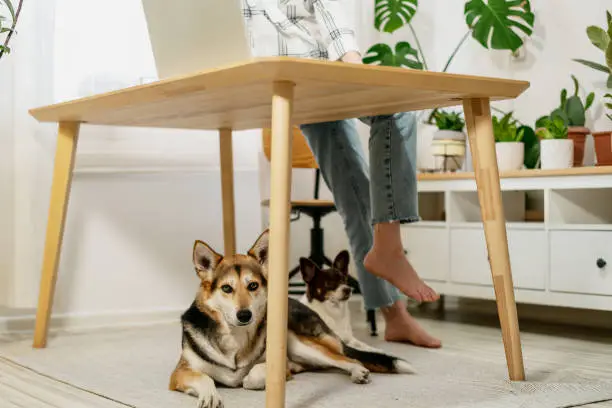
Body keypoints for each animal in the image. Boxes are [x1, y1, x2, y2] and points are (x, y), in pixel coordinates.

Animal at [170, 231, 414, 406]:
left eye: (253, 286)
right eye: (226, 288)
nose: (244, 315)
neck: (234, 337)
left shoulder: (278, 367)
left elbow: (257, 373)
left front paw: (249, 379)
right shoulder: (179, 373)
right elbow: (205, 377)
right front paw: (210, 396)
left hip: (299, 344)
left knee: (348, 359)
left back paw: (358, 372)